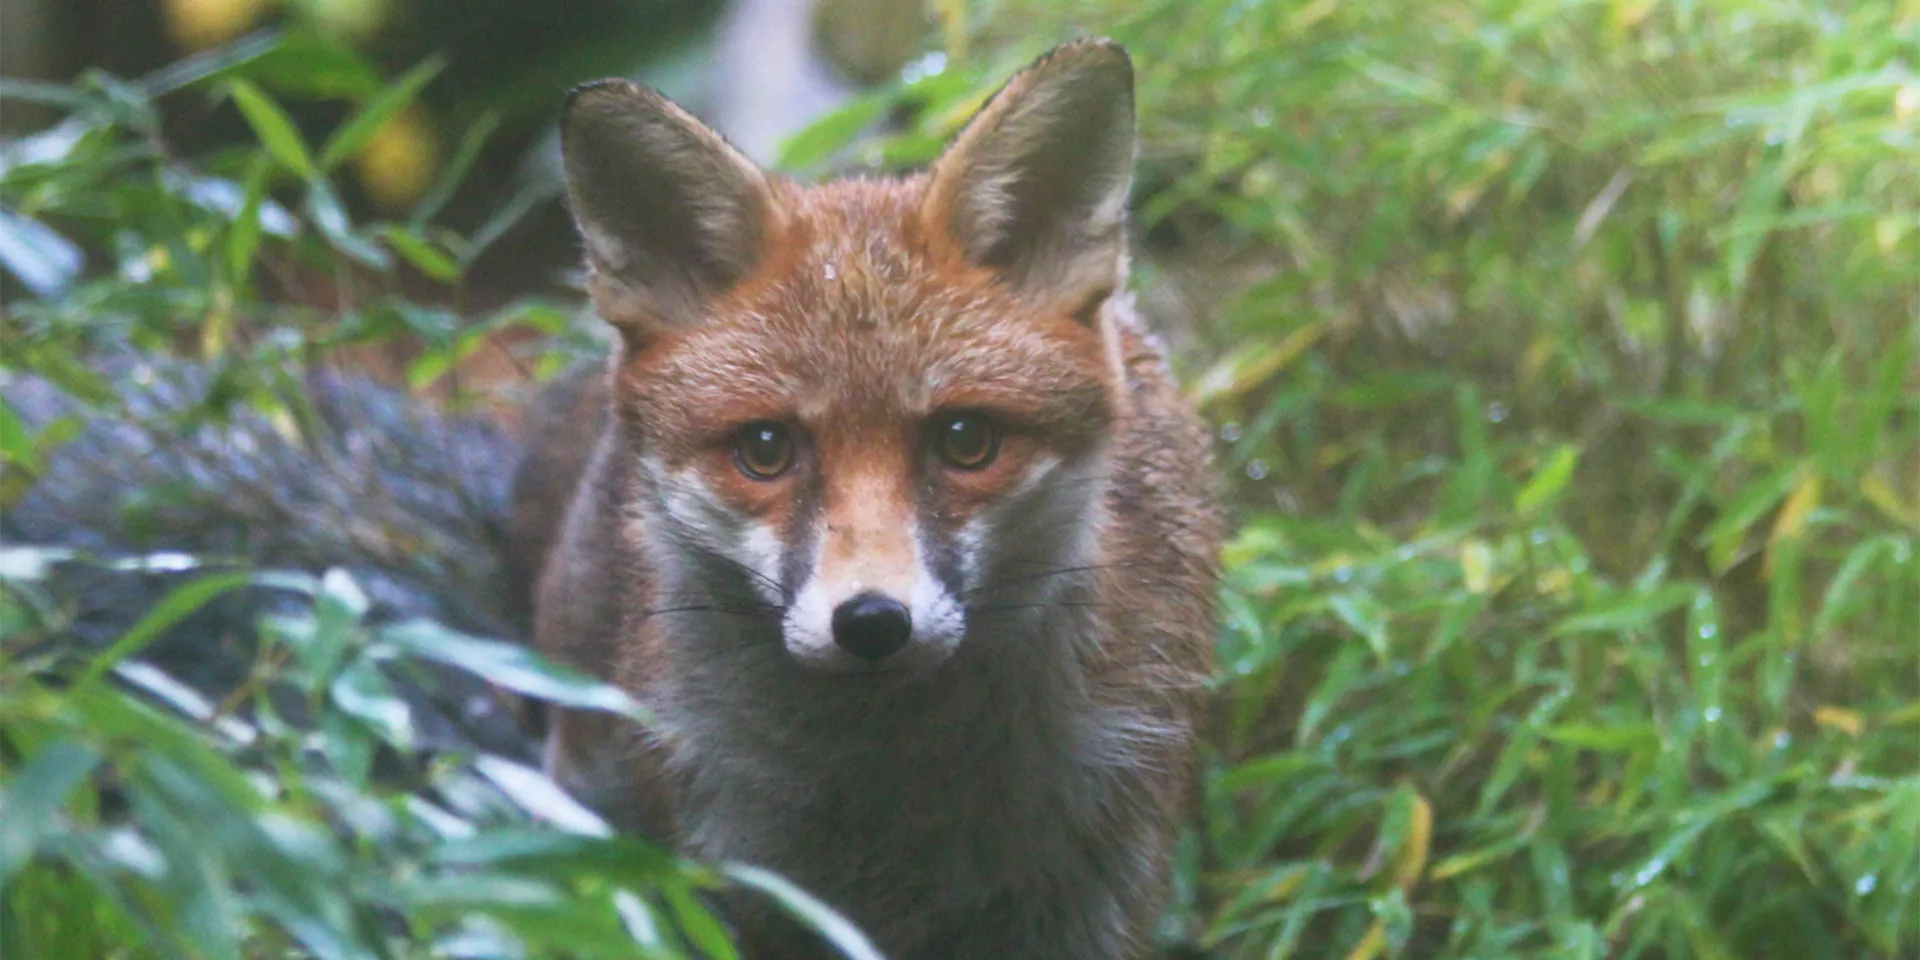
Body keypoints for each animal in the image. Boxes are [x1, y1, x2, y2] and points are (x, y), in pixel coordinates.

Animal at [510, 37, 1221, 960]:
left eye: (966, 440)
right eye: (765, 450)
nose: (874, 623)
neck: (890, 801)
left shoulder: (1098, 890)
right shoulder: (735, 881)